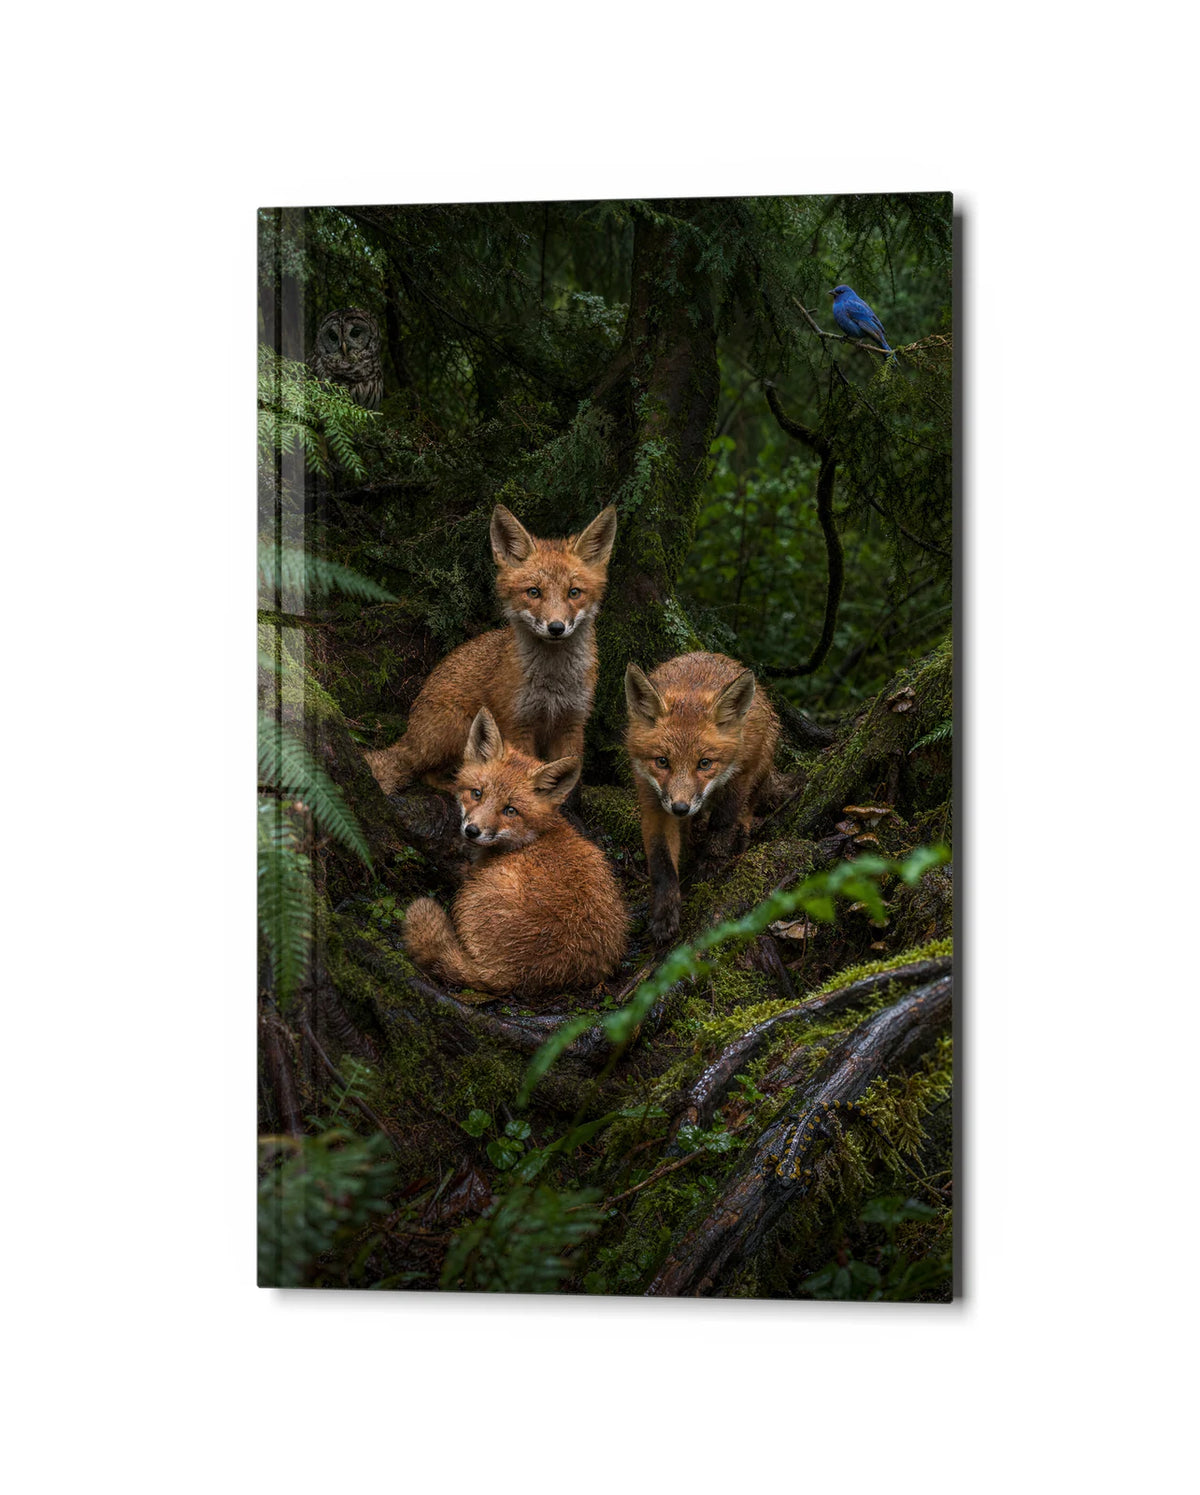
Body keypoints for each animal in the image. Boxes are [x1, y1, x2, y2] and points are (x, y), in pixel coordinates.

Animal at [364, 503, 618, 795]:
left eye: (574, 593)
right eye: (534, 592)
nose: (556, 627)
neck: (553, 685)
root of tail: (410, 732)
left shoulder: (572, 724)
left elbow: (569, 786)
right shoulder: (518, 725)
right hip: (460, 729)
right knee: (428, 774)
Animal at [403, 708, 629, 997]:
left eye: (510, 810)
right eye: (477, 794)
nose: (472, 831)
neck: (531, 840)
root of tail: (510, 976)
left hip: (471, 895)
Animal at [624, 652, 780, 946]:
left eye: (704, 763)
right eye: (662, 762)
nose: (680, 808)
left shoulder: (739, 774)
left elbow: (723, 822)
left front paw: (712, 863)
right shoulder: (652, 798)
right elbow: (661, 860)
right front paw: (665, 912)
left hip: (762, 759)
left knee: (750, 802)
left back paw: (740, 831)